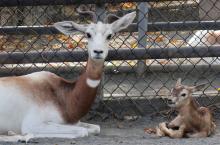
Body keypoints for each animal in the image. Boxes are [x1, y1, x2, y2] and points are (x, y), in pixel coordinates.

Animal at [0, 8, 136, 142]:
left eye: (109, 35)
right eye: (88, 34)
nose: (98, 52)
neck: (64, 96)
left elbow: (96, 128)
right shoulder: (32, 124)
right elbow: (82, 131)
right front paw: (21, 135)